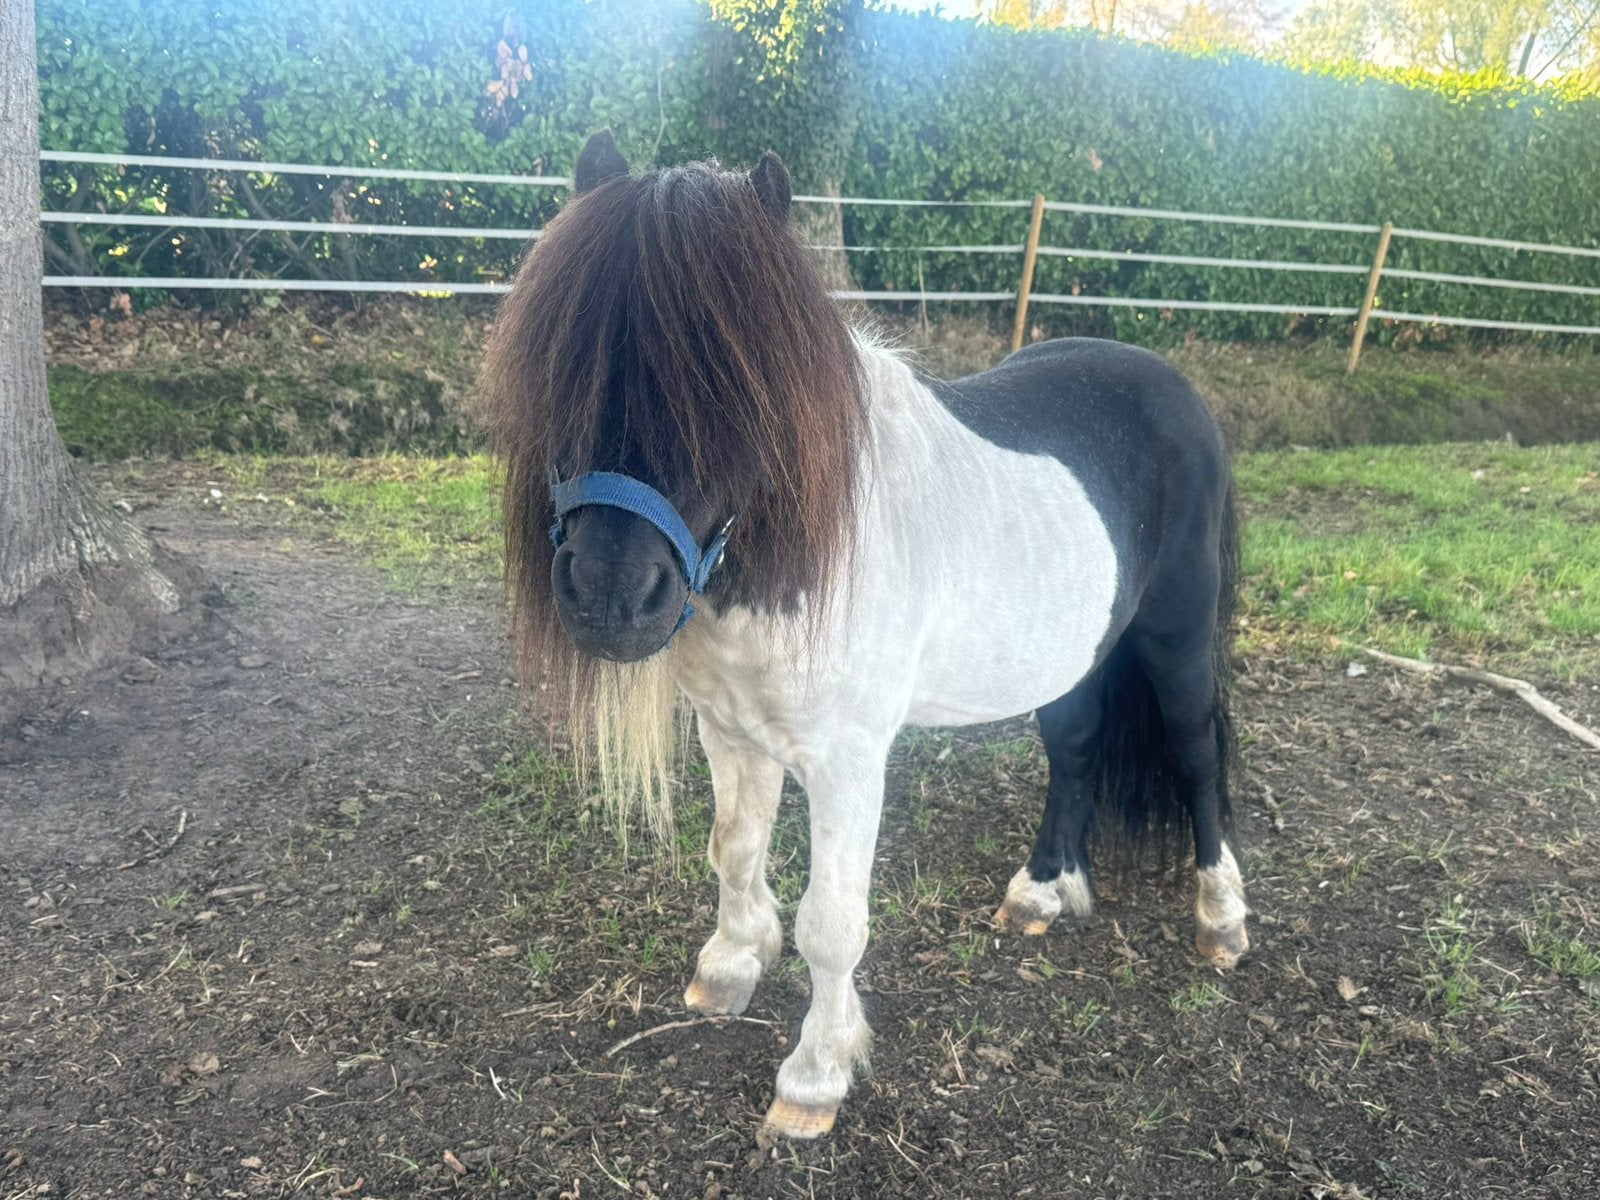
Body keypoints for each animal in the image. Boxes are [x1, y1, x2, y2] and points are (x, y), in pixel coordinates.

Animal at [483, 130, 1249, 1141]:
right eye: (563, 354)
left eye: (735, 386)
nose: (611, 597)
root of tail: (1173, 385)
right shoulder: (729, 733)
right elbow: (734, 852)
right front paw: (730, 966)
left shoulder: (848, 761)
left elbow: (832, 923)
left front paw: (814, 1078)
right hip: (1070, 657)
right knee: (1078, 748)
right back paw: (1039, 892)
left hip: (1176, 638)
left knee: (1197, 757)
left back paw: (1221, 917)